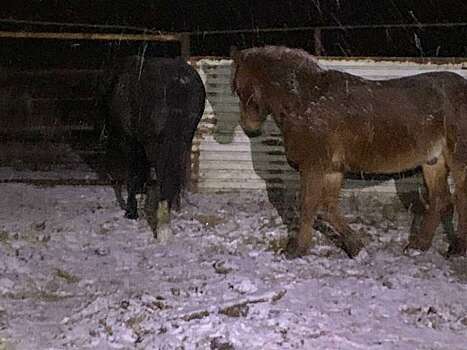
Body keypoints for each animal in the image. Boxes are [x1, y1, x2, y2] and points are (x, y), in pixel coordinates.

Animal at [101, 55, 206, 238]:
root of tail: (180, 81)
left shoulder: (132, 142)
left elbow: (134, 174)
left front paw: (131, 211)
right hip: (182, 140)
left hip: (158, 145)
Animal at [231, 45, 467, 258]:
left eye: (239, 88)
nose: (249, 127)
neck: (305, 101)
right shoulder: (332, 170)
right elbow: (327, 209)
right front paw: (356, 247)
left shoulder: (313, 167)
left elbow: (308, 206)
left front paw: (296, 250)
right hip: (433, 161)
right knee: (439, 201)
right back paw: (418, 246)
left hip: (457, 159)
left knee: (460, 196)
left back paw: (457, 249)